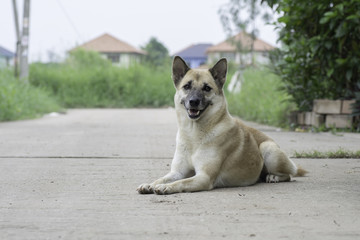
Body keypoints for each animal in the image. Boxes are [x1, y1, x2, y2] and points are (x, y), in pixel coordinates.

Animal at [136, 56, 306, 195]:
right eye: (187, 86)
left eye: (206, 88)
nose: (193, 102)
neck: (194, 134)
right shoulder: (177, 172)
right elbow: (162, 178)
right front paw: (150, 184)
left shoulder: (203, 177)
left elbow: (181, 182)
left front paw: (166, 187)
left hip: (268, 148)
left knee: (289, 175)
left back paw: (273, 176)